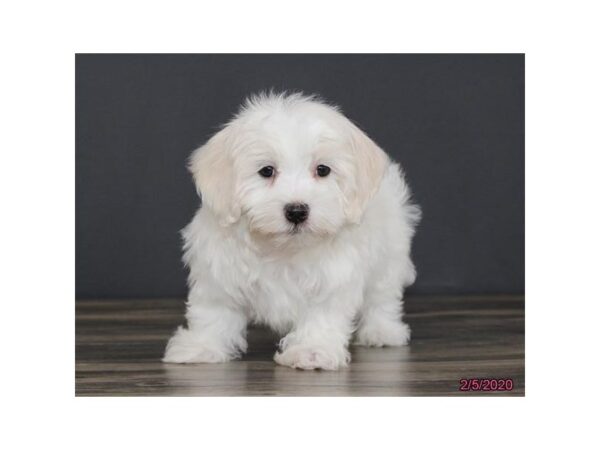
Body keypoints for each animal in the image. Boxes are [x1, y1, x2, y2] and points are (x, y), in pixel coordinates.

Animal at [162, 92, 420, 370]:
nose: (296, 211)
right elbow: (213, 311)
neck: (282, 249)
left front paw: (312, 351)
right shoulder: (219, 271)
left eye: (322, 170)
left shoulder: (332, 278)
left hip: (390, 255)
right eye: (266, 171)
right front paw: (202, 347)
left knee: (382, 297)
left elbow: (322, 315)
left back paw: (383, 331)